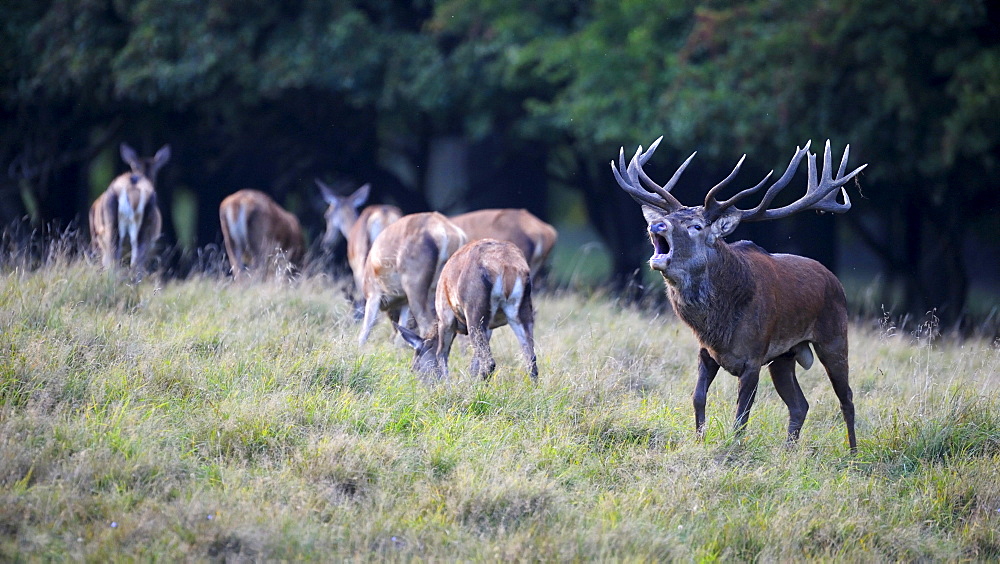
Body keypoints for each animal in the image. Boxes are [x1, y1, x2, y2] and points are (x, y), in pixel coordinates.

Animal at [360, 210, 468, 344]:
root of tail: (446, 232)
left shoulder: (373, 294)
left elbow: (364, 332)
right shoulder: (404, 302)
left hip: (415, 288)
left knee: (427, 326)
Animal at [398, 238, 540, 384]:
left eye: (415, 367)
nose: (421, 384)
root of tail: (506, 267)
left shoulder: (445, 317)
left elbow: (441, 354)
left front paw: (447, 386)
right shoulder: (489, 327)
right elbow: (474, 363)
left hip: (474, 311)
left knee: (489, 361)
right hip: (522, 311)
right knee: (531, 358)